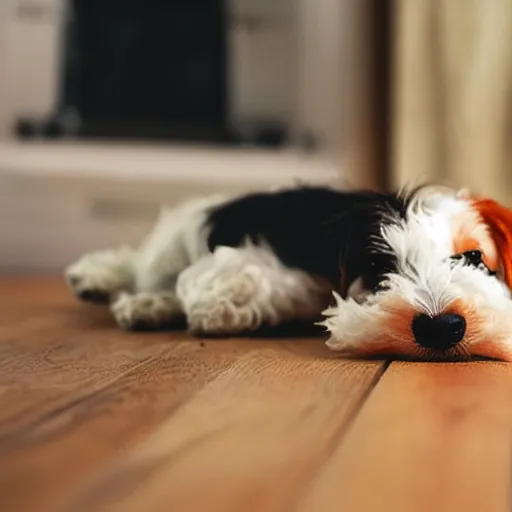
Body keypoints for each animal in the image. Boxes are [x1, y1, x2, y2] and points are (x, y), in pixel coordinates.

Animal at [65, 183, 512, 360]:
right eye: (379, 266)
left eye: (475, 258)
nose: (441, 326)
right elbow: (238, 278)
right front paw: (218, 307)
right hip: (167, 247)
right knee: (140, 266)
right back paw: (101, 279)